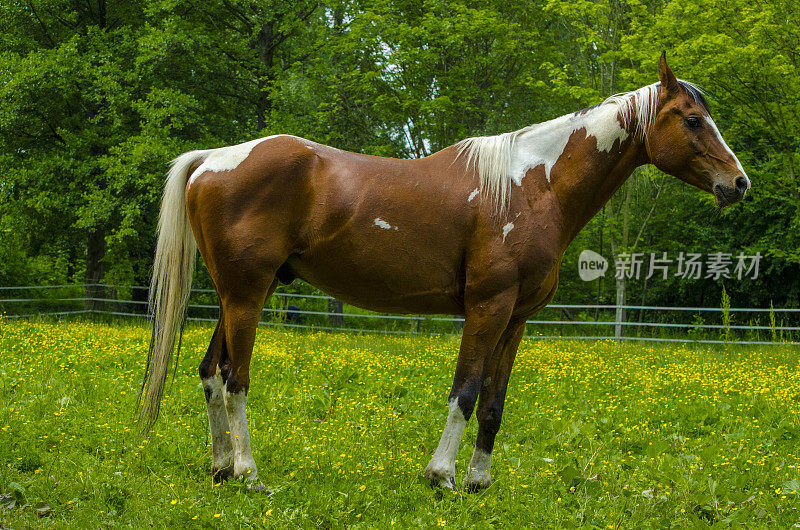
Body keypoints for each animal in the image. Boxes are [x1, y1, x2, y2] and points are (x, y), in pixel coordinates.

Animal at [139, 54, 752, 490]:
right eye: (693, 120)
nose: (739, 183)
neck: (532, 185)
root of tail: (214, 159)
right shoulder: (487, 307)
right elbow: (465, 392)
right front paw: (442, 477)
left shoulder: (516, 320)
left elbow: (494, 404)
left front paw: (479, 483)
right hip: (247, 296)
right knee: (235, 378)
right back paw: (248, 474)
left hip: (235, 296)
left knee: (211, 373)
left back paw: (221, 469)